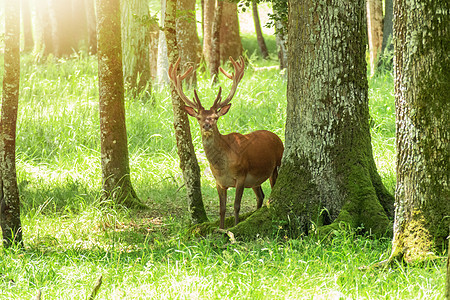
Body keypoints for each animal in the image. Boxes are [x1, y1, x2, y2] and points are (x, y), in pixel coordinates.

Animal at [167, 56, 284, 229]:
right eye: (199, 117)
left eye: (215, 117)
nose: (207, 125)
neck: (222, 166)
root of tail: (277, 137)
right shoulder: (219, 182)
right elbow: (222, 208)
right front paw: (221, 228)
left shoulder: (241, 175)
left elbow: (236, 206)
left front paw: (235, 227)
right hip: (255, 180)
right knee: (260, 196)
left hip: (276, 166)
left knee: (268, 191)